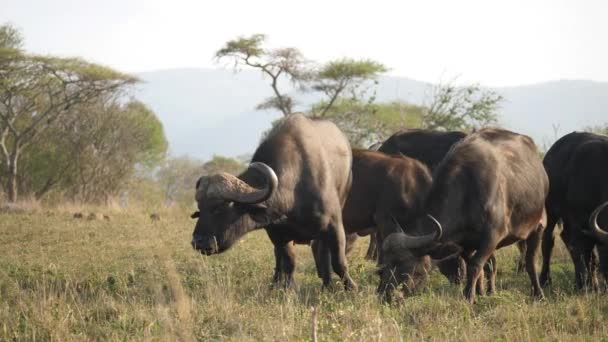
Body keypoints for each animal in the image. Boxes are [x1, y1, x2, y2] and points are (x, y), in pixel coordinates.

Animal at [191, 114, 356, 288]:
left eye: (221, 207)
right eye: (200, 208)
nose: (198, 242)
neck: (295, 190)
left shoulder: (334, 227)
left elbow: (339, 262)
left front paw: (351, 287)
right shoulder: (277, 234)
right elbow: (289, 261)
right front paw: (288, 288)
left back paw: (327, 284)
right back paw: (275, 283)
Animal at [378, 127, 548, 302]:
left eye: (402, 262)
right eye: (385, 262)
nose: (385, 295)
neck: (466, 190)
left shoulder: (492, 236)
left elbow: (475, 266)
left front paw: (469, 297)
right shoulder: (465, 244)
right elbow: (477, 266)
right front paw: (479, 293)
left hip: (538, 226)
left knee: (531, 261)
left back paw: (538, 293)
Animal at [540, 131, 608, 288]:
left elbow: (590, 255)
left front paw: (593, 284)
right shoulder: (578, 221)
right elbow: (583, 253)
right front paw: (584, 284)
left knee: (566, 237)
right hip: (550, 210)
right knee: (548, 240)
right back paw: (545, 280)